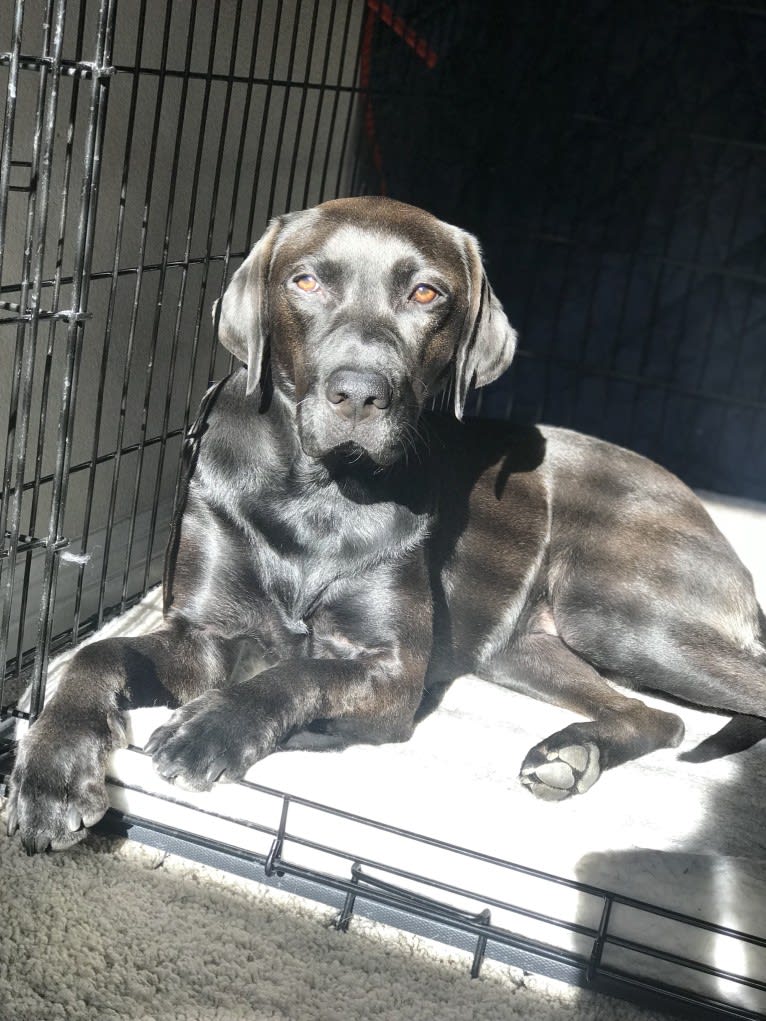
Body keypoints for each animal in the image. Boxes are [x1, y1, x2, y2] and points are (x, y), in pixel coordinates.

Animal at [7, 195, 766, 849]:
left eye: (427, 294)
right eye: (306, 281)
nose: (358, 392)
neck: (317, 492)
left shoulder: (392, 668)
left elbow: (298, 674)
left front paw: (211, 729)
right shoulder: (205, 635)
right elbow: (95, 656)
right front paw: (50, 773)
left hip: (620, 614)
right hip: (526, 646)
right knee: (659, 716)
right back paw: (570, 753)